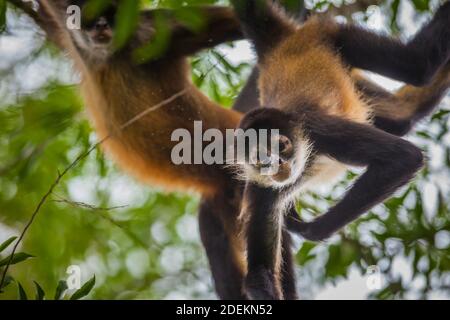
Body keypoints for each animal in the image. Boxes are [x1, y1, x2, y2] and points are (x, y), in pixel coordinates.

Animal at [230, 0, 450, 300]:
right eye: (260, 157)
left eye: (282, 145)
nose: (277, 165)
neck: (305, 162)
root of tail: (282, 45)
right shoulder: (261, 187)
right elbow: (258, 275)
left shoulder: (319, 128)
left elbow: (404, 158)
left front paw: (309, 228)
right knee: (404, 114)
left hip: (334, 34)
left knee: (418, 65)